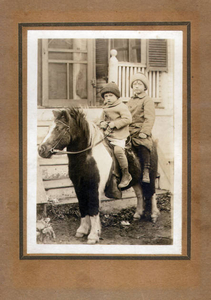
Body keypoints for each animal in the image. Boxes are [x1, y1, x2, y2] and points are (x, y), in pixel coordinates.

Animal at [38, 107, 160, 244]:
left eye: (59, 129)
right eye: (49, 128)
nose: (41, 150)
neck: (87, 157)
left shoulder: (94, 187)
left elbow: (93, 208)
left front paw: (93, 235)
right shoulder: (79, 186)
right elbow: (83, 206)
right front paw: (82, 230)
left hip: (150, 176)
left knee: (152, 193)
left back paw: (154, 215)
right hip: (135, 180)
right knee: (139, 194)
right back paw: (137, 214)